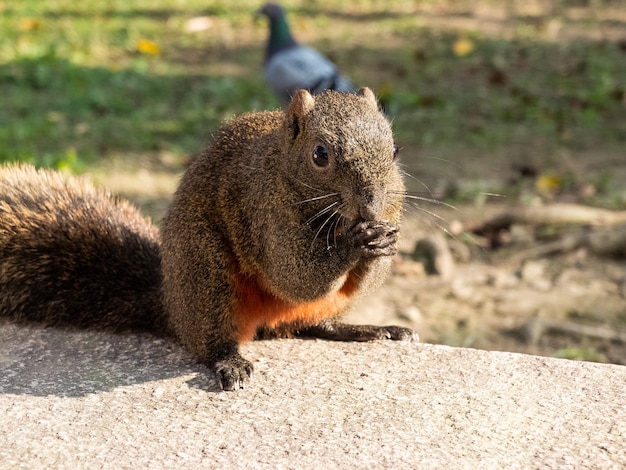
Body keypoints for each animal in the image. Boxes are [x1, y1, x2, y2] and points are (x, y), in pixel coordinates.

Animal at [2, 87, 420, 390]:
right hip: (204, 272)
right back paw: (229, 362)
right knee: (213, 339)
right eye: (320, 155)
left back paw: (374, 330)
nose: (370, 205)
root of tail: (170, 303)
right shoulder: (263, 209)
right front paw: (356, 242)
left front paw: (383, 243)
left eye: (395, 150)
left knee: (313, 324)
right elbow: (294, 275)